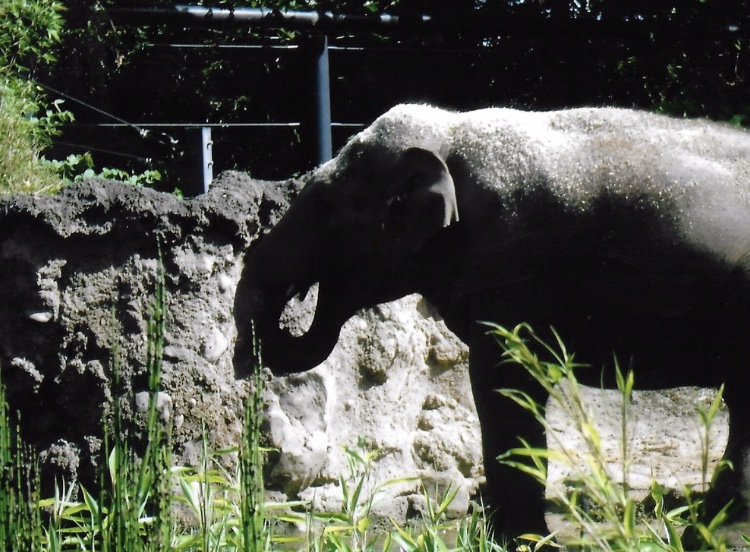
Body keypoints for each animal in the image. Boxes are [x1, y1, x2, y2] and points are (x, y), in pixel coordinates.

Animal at [234, 104, 750, 538]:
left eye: (322, 206)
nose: (246, 366)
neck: (450, 130)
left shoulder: (510, 271)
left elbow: (503, 383)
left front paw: (523, 542)